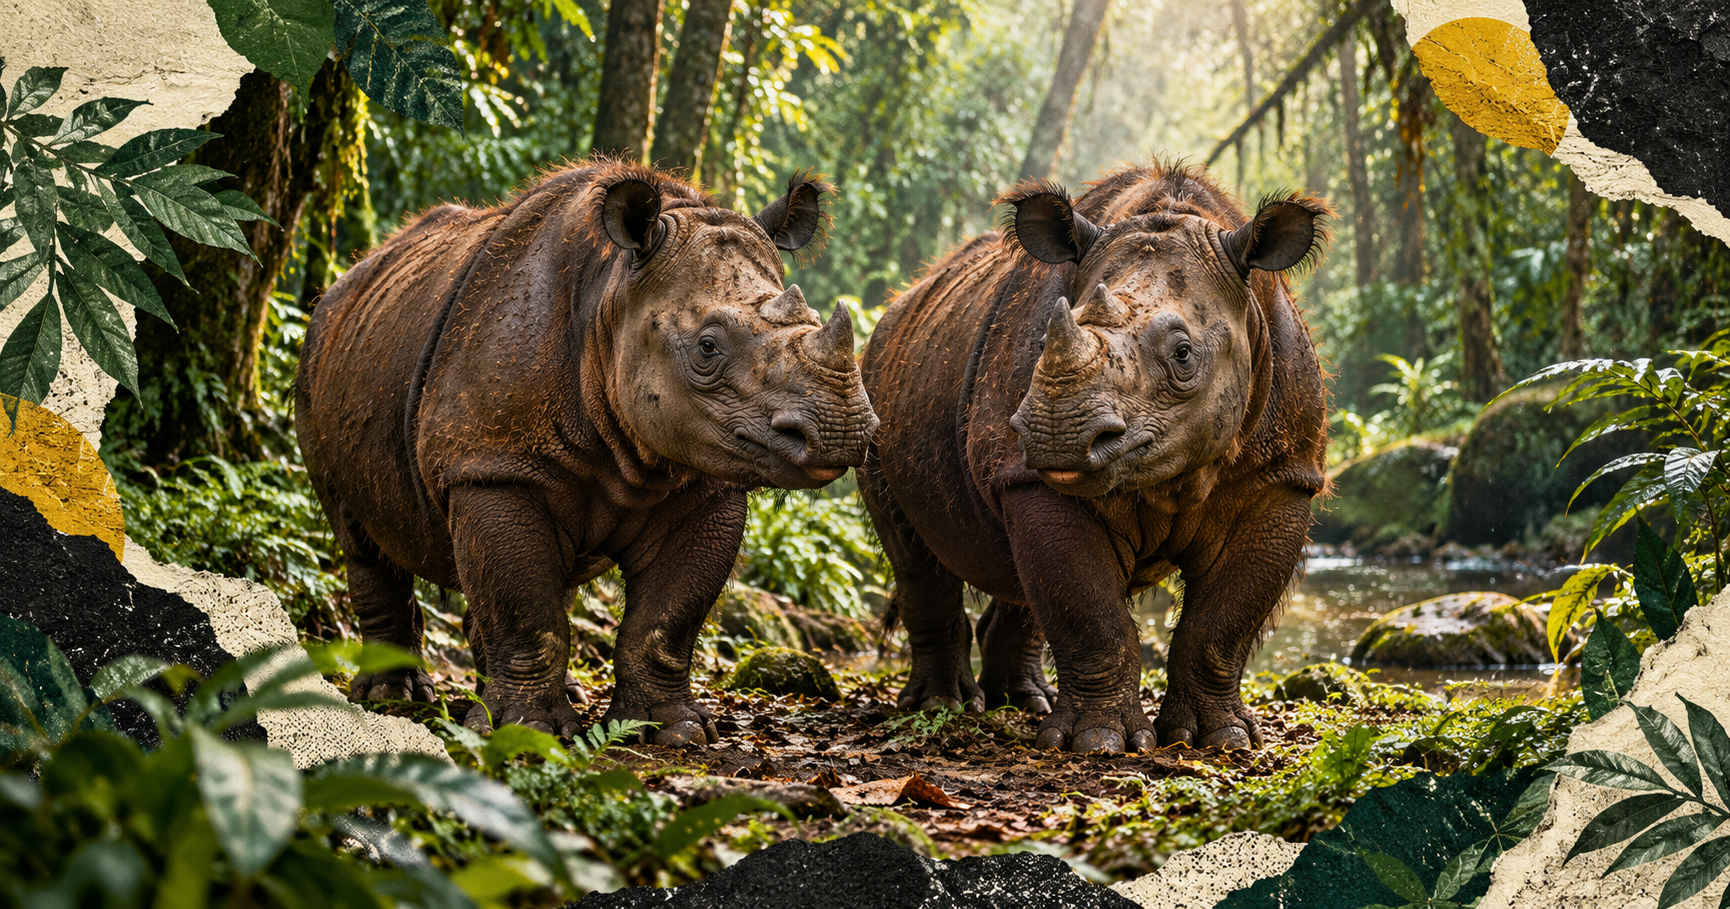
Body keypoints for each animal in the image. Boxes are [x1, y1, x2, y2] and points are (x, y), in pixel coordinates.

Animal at [296, 162, 878, 745]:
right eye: (708, 347)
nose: (843, 427)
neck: (612, 300)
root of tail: (346, 282)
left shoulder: (707, 480)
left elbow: (666, 620)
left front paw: (672, 731)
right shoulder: (492, 469)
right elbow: (524, 605)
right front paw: (527, 731)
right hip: (319, 354)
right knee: (361, 541)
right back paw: (392, 698)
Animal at [858, 163, 1330, 752]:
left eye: (1183, 354)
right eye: (1043, 346)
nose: (1059, 434)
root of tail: (901, 302)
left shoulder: (1282, 478)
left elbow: (1223, 621)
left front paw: (1218, 740)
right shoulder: (1032, 476)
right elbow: (1088, 609)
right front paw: (1098, 743)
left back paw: (1023, 701)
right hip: (870, 379)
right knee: (915, 557)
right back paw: (942, 706)